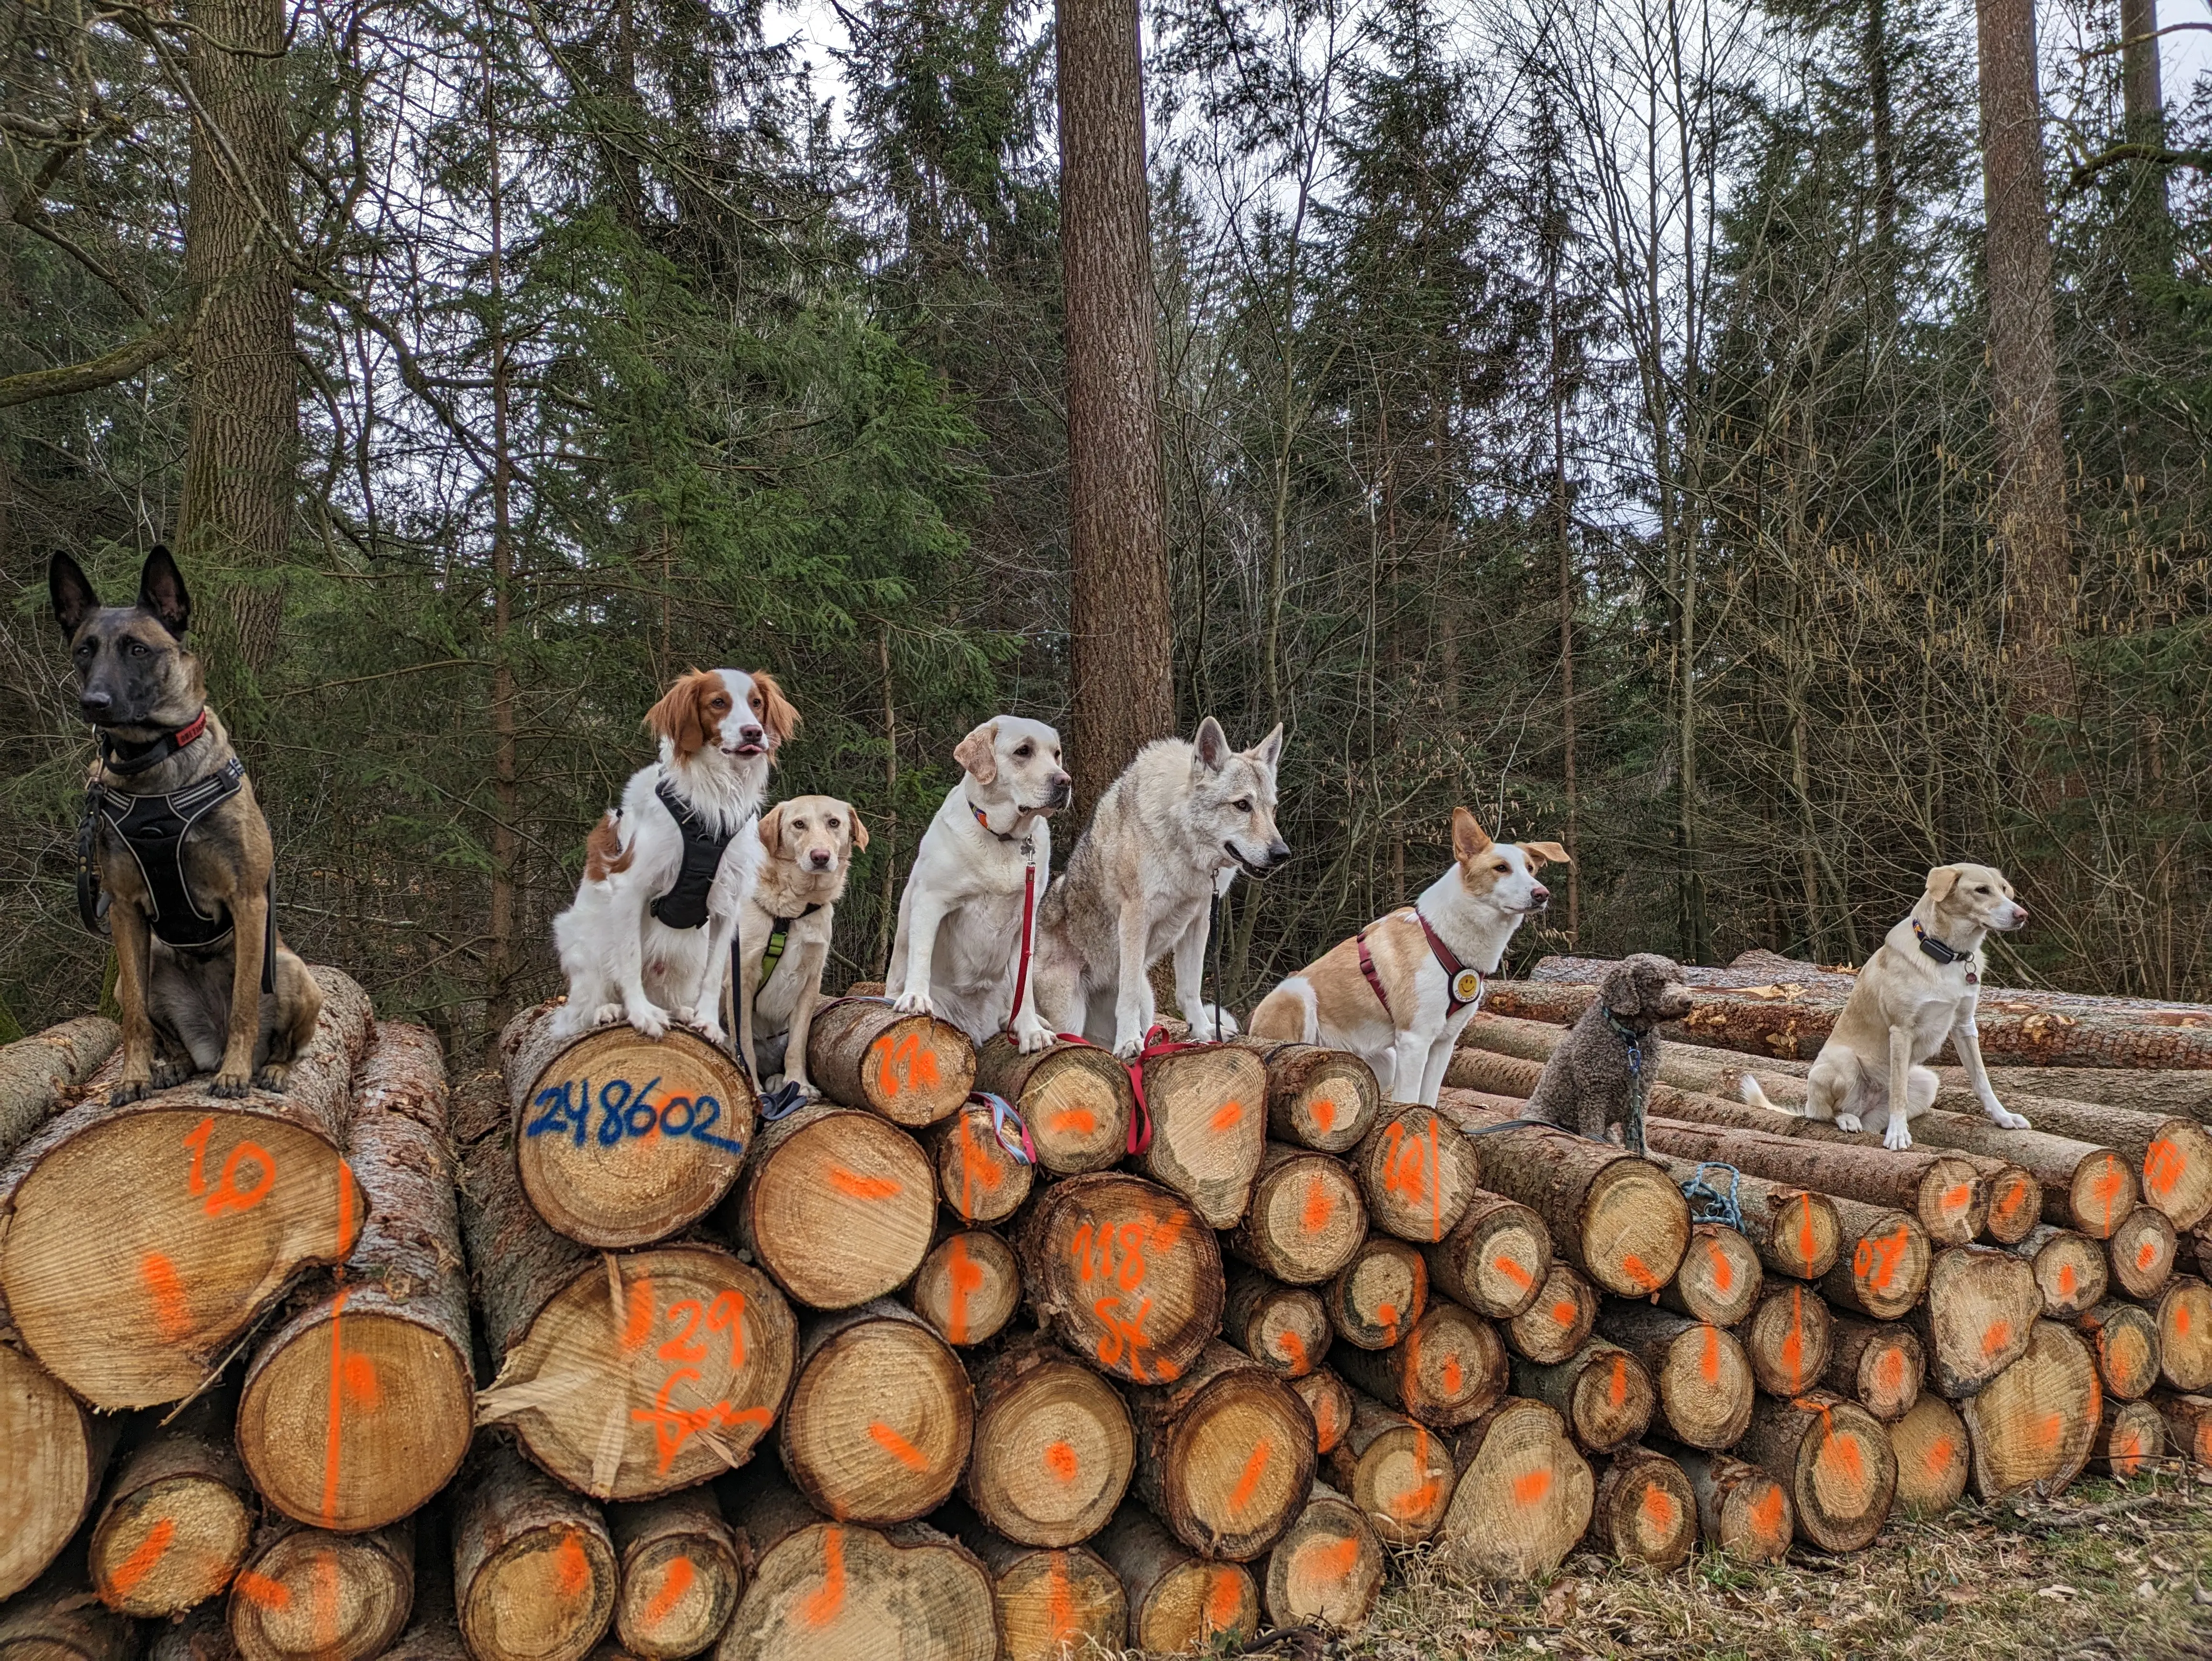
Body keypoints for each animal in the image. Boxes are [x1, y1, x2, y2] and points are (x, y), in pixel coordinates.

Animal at [50, 546, 323, 1110]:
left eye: (138, 649)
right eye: (85, 650)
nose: (94, 703)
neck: (152, 766)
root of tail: (209, 1044)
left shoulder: (249, 900)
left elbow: (244, 1003)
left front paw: (236, 1077)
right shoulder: (124, 910)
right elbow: (134, 1017)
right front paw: (132, 1077)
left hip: (292, 970)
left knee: (285, 1042)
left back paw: (268, 1069)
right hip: (143, 970)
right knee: (161, 1029)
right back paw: (174, 1066)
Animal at [730, 796, 858, 1106]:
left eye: (834, 823)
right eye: (799, 824)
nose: (821, 856)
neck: (793, 910)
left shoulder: (810, 982)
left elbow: (798, 1044)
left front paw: (798, 1085)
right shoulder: (741, 979)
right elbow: (744, 1044)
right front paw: (754, 1089)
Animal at [880, 716, 1071, 1052]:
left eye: (1056, 754)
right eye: (1023, 751)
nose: (1065, 781)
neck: (1004, 838)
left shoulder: (1026, 922)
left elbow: (1026, 987)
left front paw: (1031, 1030)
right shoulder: (931, 899)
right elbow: (921, 953)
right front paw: (915, 997)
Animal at [1247, 805, 1575, 1106]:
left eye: (1530, 869)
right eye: (1501, 868)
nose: (1542, 894)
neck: (1445, 938)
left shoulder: (1443, 1044)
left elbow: (1427, 1104)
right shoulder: (1415, 1040)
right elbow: (1409, 1101)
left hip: (1384, 1062)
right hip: (1298, 995)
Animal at [1743, 863, 2035, 1150]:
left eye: (2004, 889)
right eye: (1981, 890)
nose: (2023, 915)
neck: (1947, 954)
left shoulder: (1965, 1026)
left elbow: (1981, 1080)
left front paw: (2003, 1117)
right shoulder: (1901, 1031)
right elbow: (1898, 1093)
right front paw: (1897, 1135)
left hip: (1928, 1082)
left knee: (1870, 1122)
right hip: (1843, 1062)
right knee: (1827, 1114)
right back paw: (1846, 1119)